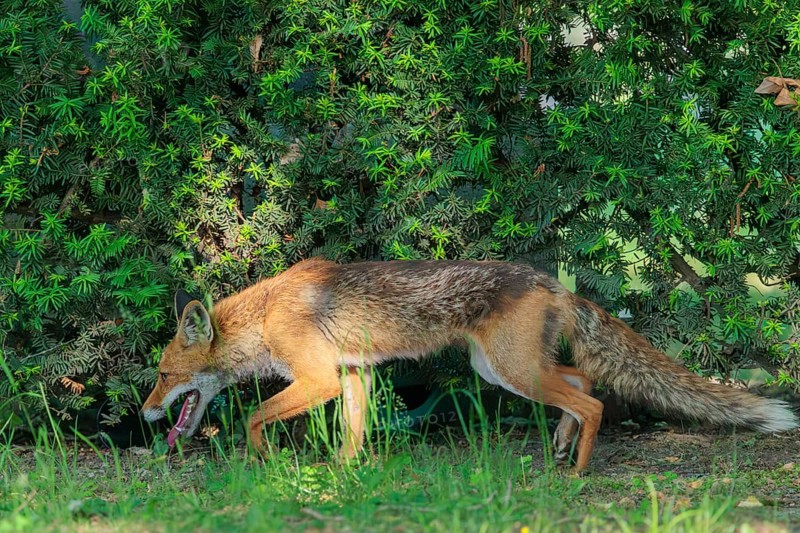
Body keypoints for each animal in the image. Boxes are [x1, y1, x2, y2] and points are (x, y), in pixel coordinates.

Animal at [141, 258, 798, 472]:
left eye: (165, 378)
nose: (145, 415)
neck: (267, 313)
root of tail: (551, 282)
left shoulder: (321, 376)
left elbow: (255, 416)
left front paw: (259, 461)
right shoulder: (354, 374)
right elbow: (353, 434)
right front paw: (347, 476)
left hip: (512, 372)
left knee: (593, 400)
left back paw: (577, 470)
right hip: (503, 370)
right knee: (584, 380)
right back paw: (561, 444)